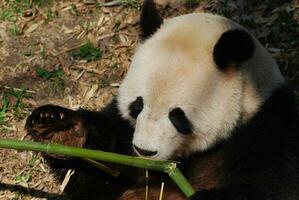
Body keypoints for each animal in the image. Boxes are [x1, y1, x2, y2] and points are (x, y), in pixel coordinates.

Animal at [24, 0, 298, 199]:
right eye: (137, 106)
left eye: (178, 116)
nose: (144, 151)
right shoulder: (126, 138)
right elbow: (102, 175)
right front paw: (60, 129)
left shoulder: (270, 132)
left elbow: (271, 188)